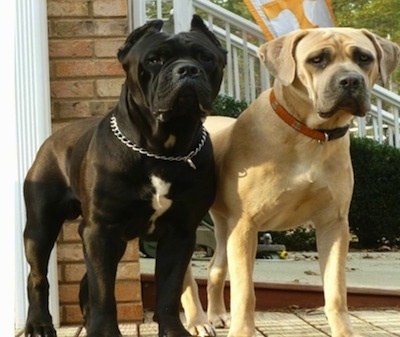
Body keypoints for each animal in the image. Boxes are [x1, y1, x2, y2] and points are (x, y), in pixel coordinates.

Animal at [23, 15, 227, 336]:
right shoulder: (101, 230)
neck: (163, 149)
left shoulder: (180, 233)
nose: (187, 69)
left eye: (205, 58)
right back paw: (39, 324)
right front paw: (104, 331)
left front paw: (173, 330)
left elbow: (169, 289)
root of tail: (53, 138)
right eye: (154, 59)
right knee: (38, 276)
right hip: (40, 227)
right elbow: (104, 292)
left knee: (87, 281)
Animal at [180, 28, 400, 336]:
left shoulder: (334, 224)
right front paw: (242, 330)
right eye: (317, 59)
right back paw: (197, 321)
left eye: (364, 58)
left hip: (224, 227)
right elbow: (245, 293)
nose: (350, 80)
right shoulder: (246, 225)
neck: (309, 134)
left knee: (215, 267)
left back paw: (216, 315)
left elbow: (336, 291)